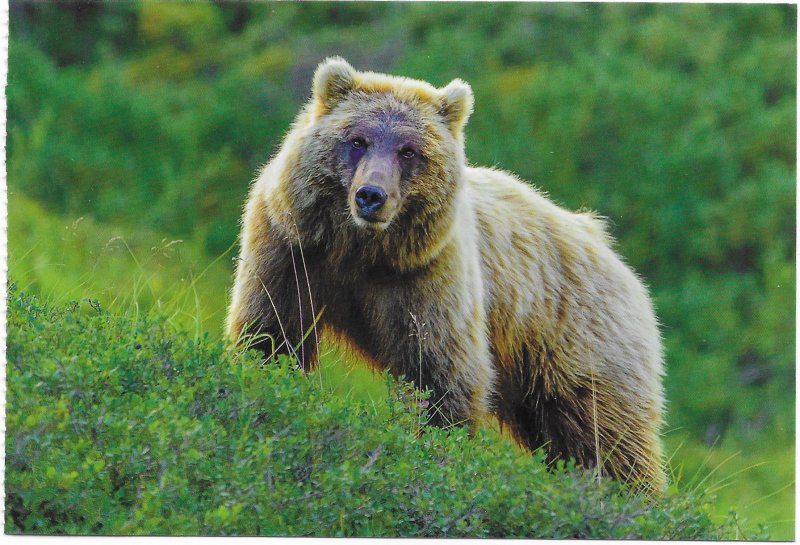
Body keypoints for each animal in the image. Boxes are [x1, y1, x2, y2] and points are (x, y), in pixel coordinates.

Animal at [227, 57, 668, 490]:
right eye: (357, 140)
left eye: (409, 151)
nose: (371, 196)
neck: (361, 251)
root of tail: (612, 254)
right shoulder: (292, 249)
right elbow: (272, 334)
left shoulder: (428, 278)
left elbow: (441, 374)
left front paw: (434, 449)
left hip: (576, 338)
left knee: (603, 434)